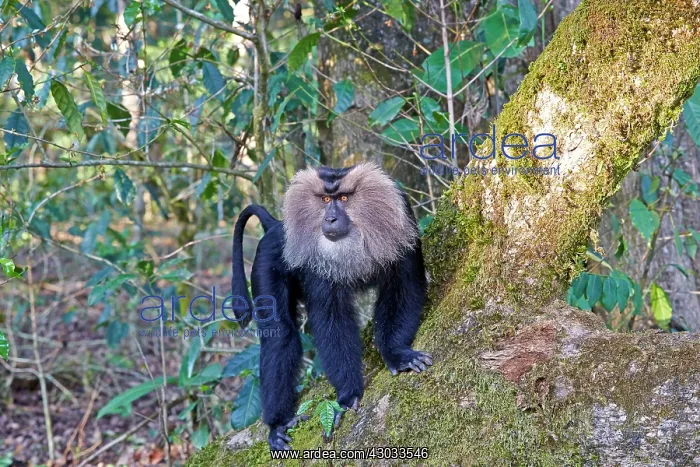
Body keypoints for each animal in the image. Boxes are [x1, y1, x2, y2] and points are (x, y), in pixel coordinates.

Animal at [231, 162, 432, 450]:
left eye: (344, 198)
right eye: (326, 200)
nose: (330, 219)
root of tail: (276, 227)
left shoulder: (402, 221)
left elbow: (405, 287)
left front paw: (397, 354)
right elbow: (330, 319)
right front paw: (348, 395)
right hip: (266, 261)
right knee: (279, 335)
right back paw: (277, 423)